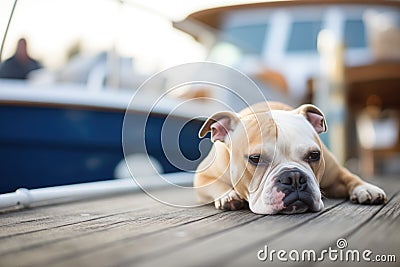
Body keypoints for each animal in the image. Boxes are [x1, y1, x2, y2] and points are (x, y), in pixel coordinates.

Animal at [195, 102, 388, 216]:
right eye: (255, 158)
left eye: (314, 155)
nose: (294, 177)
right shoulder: (201, 177)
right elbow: (214, 183)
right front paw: (229, 196)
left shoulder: (333, 172)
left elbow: (348, 176)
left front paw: (365, 188)